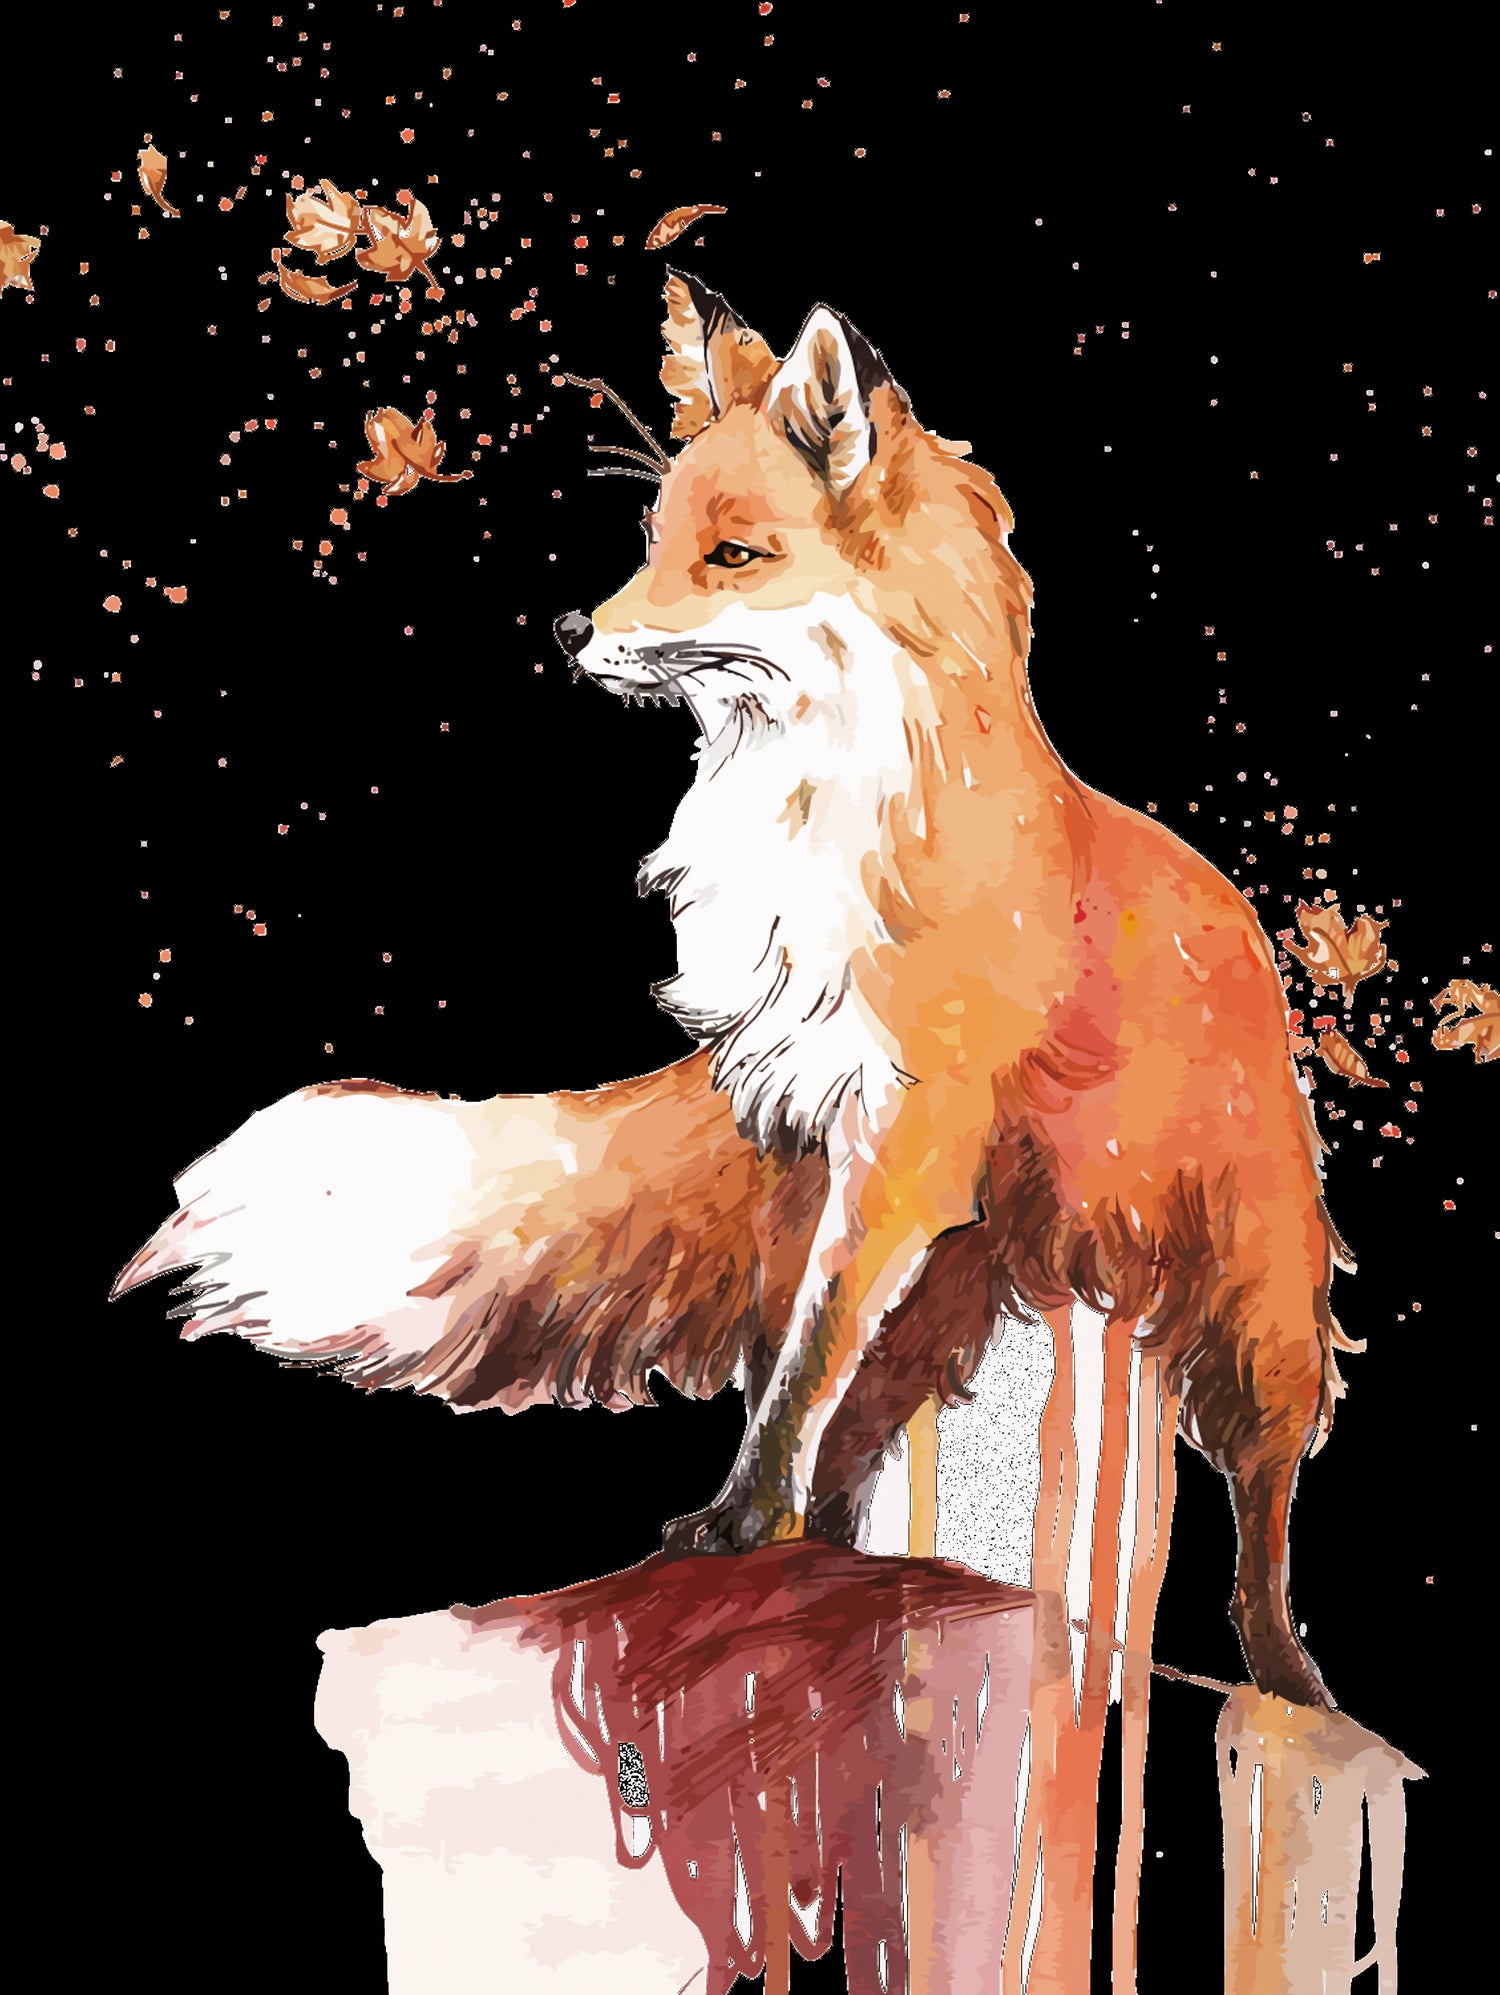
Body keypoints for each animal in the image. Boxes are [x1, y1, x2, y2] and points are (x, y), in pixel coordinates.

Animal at [114, 270, 1360, 1710]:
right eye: (652, 539)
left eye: (733, 557)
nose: (573, 628)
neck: (807, 831)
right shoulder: (794, 1130)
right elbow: (788, 1363)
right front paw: (750, 1523)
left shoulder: (901, 1142)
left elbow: (803, 1363)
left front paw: (739, 1521)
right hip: (960, 1287)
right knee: (871, 1429)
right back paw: (844, 1554)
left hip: (1254, 1297)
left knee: (1262, 1501)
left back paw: (1289, 1676)